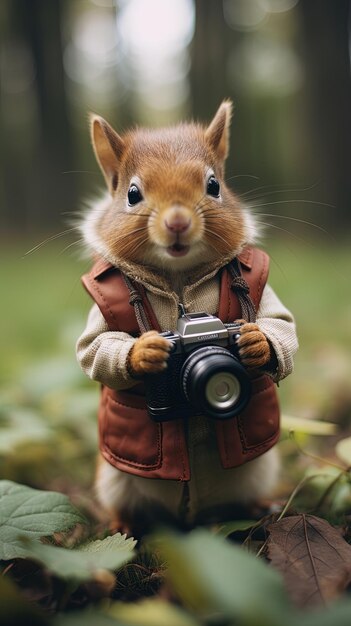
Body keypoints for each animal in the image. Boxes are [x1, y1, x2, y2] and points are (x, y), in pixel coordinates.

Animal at [77, 100, 300, 532]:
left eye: (214, 186)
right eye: (132, 193)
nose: (177, 222)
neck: (179, 280)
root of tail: (190, 515)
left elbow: (281, 324)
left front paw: (255, 342)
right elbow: (93, 347)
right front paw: (145, 352)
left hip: (259, 468)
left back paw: (259, 508)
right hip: (114, 479)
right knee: (125, 507)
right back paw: (123, 526)